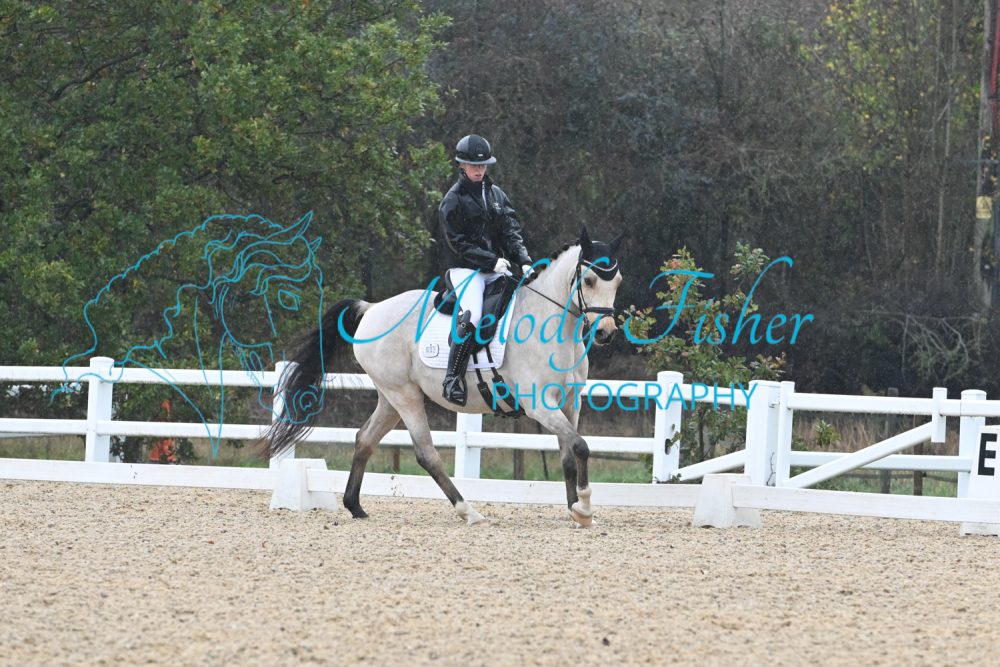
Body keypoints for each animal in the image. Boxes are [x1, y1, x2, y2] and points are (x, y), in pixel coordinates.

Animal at [265, 227, 623, 527]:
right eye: (589, 280)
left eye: (617, 281)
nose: (605, 333)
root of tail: (372, 309)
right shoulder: (539, 404)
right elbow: (581, 446)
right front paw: (584, 507)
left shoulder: (569, 403)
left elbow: (568, 454)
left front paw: (575, 510)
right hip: (406, 396)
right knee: (426, 453)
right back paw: (469, 512)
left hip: (390, 398)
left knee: (365, 439)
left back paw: (355, 506)